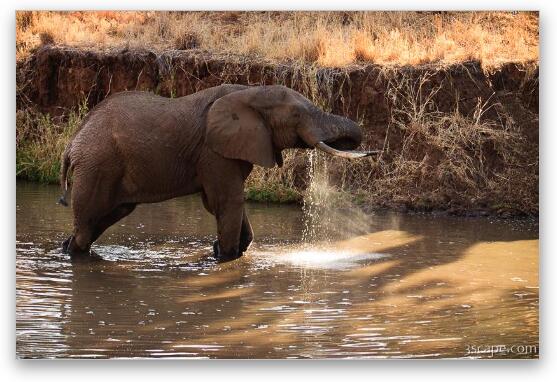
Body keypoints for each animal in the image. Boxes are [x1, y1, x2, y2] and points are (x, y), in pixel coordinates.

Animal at [57, 84, 378, 262]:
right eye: (297, 115)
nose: (374, 153)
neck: (250, 90)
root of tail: (72, 142)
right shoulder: (214, 151)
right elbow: (227, 202)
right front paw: (224, 257)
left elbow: (225, 205)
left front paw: (218, 250)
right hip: (97, 167)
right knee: (87, 224)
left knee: (104, 218)